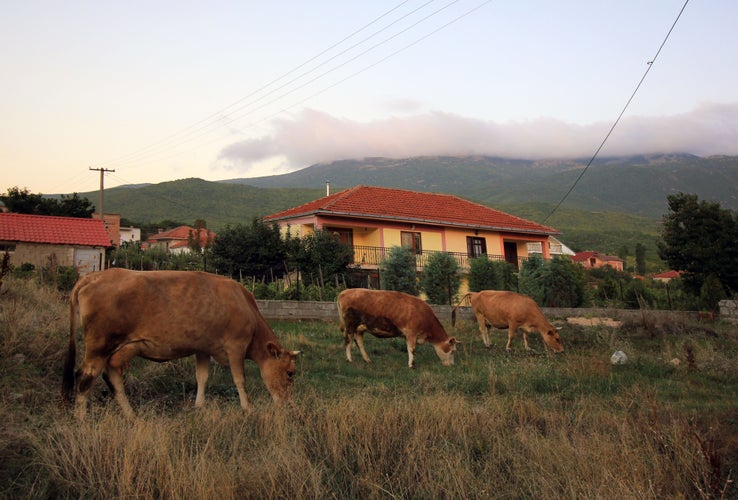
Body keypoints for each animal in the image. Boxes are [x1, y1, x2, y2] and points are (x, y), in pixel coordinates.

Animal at [62, 268, 300, 420]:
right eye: (290, 373)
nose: (289, 404)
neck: (246, 306)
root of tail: (93, 277)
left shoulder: (204, 348)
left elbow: (202, 377)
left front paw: (199, 406)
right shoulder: (236, 346)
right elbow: (239, 380)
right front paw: (248, 409)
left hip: (116, 349)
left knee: (112, 377)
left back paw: (131, 415)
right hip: (99, 346)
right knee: (84, 378)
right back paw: (81, 420)